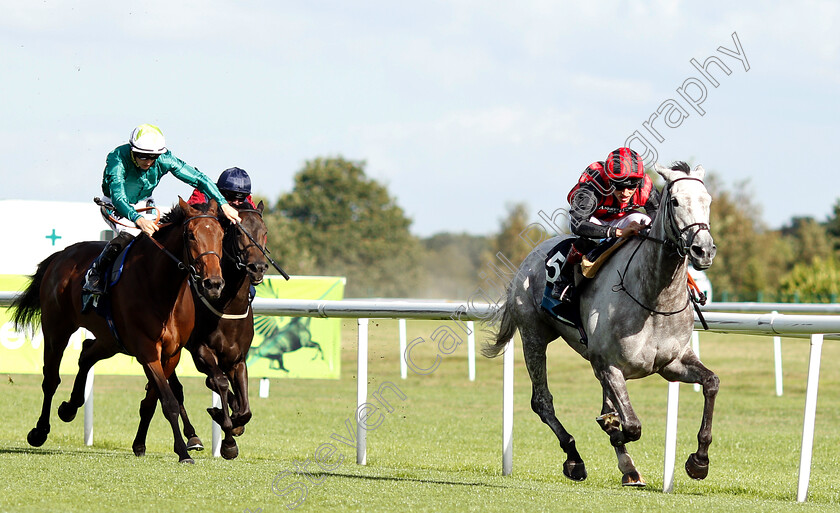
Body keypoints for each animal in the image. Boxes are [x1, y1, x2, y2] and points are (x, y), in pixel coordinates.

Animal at [11, 198, 226, 462]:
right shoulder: (147, 350)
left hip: (110, 339)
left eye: (221, 235)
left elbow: (152, 400)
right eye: (191, 235)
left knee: (86, 354)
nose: (213, 284)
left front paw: (141, 444)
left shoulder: (171, 354)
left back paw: (69, 407)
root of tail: (61, 255)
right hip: (56, 329)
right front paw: (183, 451)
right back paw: (39, 431)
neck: (162, 288)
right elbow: (168, 401)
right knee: (51, 379)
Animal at [133, 201, 268, 460]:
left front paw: (235, 422)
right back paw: (190, 437)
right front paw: (227, 437)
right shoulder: (201, 351)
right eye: (238, 232)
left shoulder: (237, 359)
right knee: (174, 390)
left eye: (264, 231)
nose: (257, 267)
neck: (227, 307)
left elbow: (245, 407)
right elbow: (220, 383)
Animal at [482, 162, 720, 486]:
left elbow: (711, 383)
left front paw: (699, 460)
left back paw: (627, 465)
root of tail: (526, 261)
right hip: (534, 336)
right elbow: (630, 425)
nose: (703, 250)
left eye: (708, 201)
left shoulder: (673, 363)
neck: (655, 301)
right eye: (674, 202)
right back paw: (575, 458)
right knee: (542, 401)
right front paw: (613, 433)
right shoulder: (609, 365)